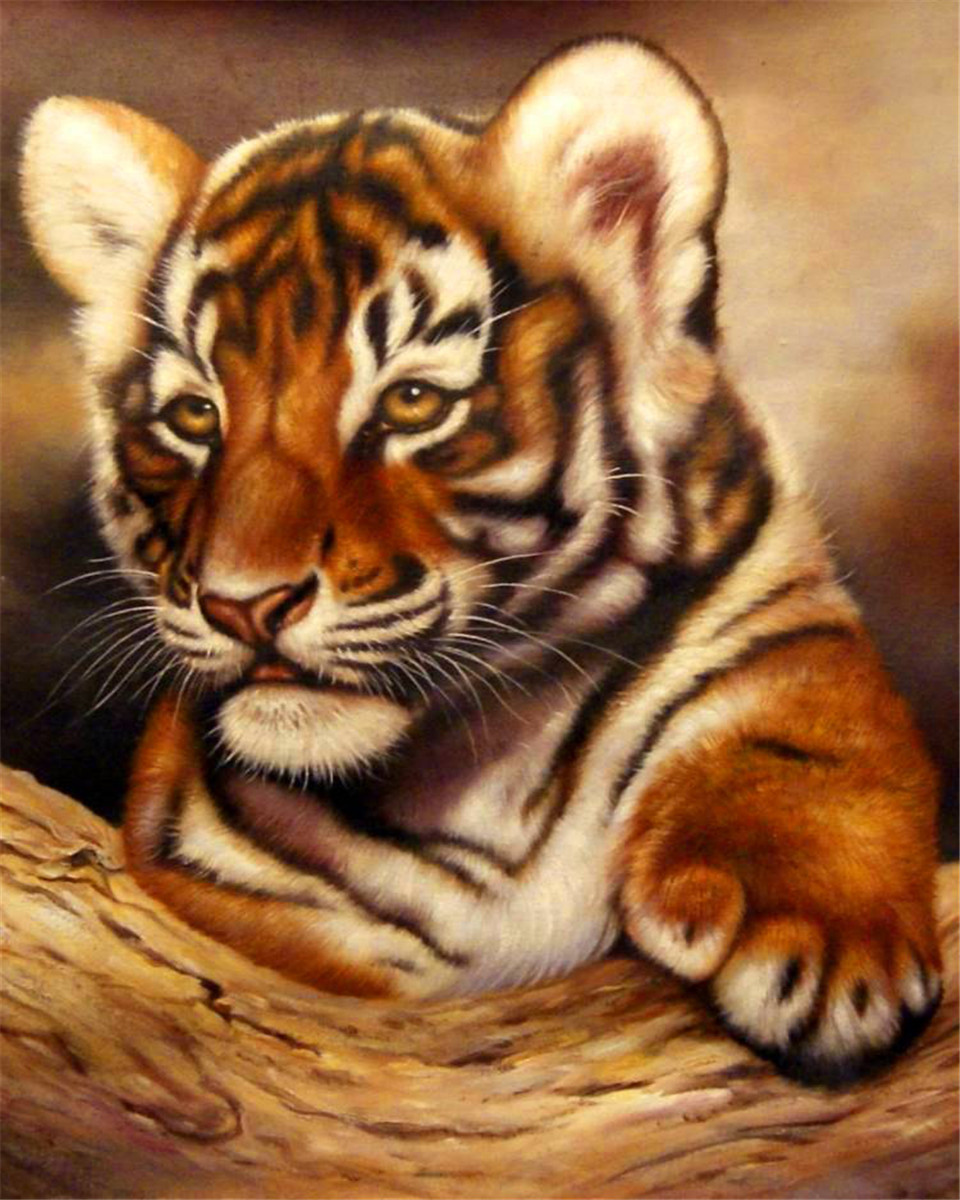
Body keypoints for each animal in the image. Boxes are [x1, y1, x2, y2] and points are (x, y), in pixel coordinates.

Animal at [21, 35, 942, 1085]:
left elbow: (808, 735)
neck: (474, 774)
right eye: (194, 416)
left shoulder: (775, 607)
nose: (243, 605)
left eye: (413, 402)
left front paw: (830, 957)